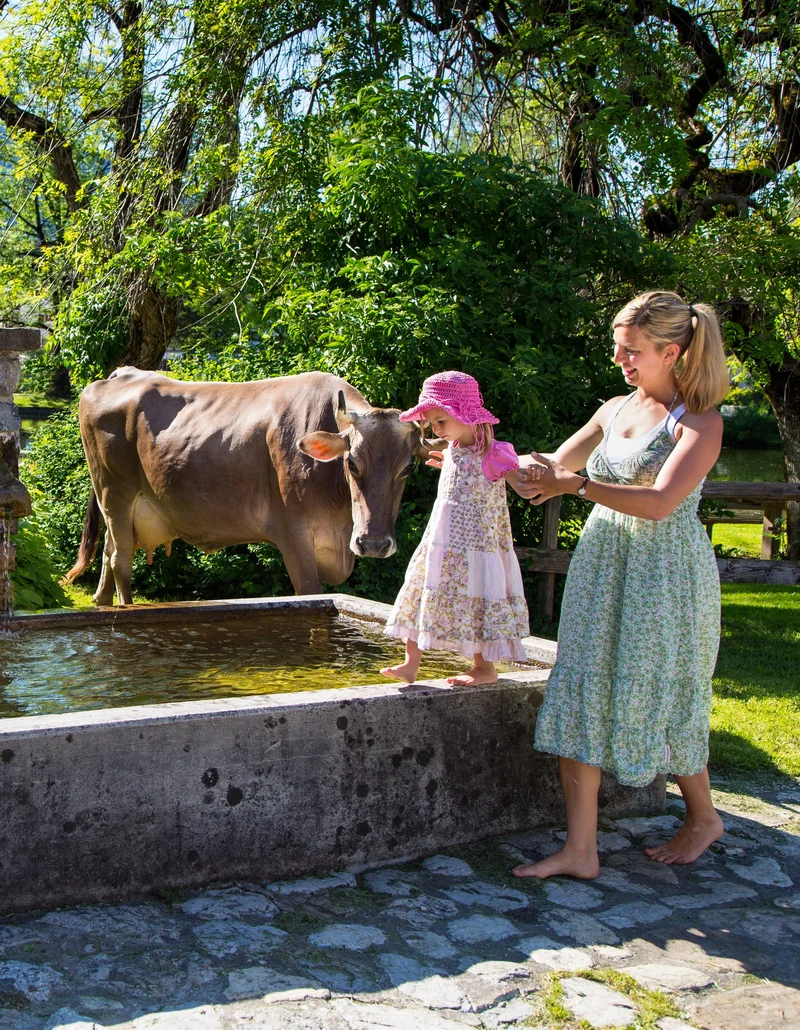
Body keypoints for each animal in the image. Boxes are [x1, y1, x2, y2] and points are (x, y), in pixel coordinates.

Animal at [65, 367, 427, 605]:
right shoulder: (293, 535)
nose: (374, 543)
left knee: (109, 550)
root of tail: (120, 374)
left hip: (118, 505)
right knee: (120, 558)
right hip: (114, 491)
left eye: (408, 468)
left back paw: (101, 601)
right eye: (351, 463)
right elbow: (309, 592)